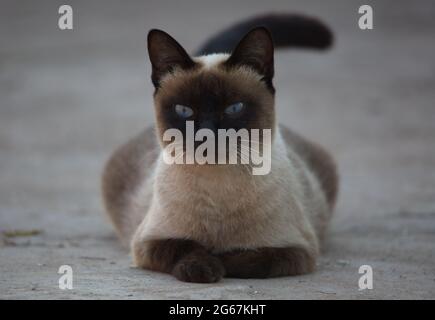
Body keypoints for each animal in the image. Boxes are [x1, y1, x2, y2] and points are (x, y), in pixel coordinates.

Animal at [103, 13, 340, 282]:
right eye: (184, 110)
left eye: (234, 108)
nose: (207, 135)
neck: (217, 190)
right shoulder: (149, 242)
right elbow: (186, 246)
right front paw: (202, 269)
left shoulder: (295, 250)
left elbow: (250, 258)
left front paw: (221, 260)